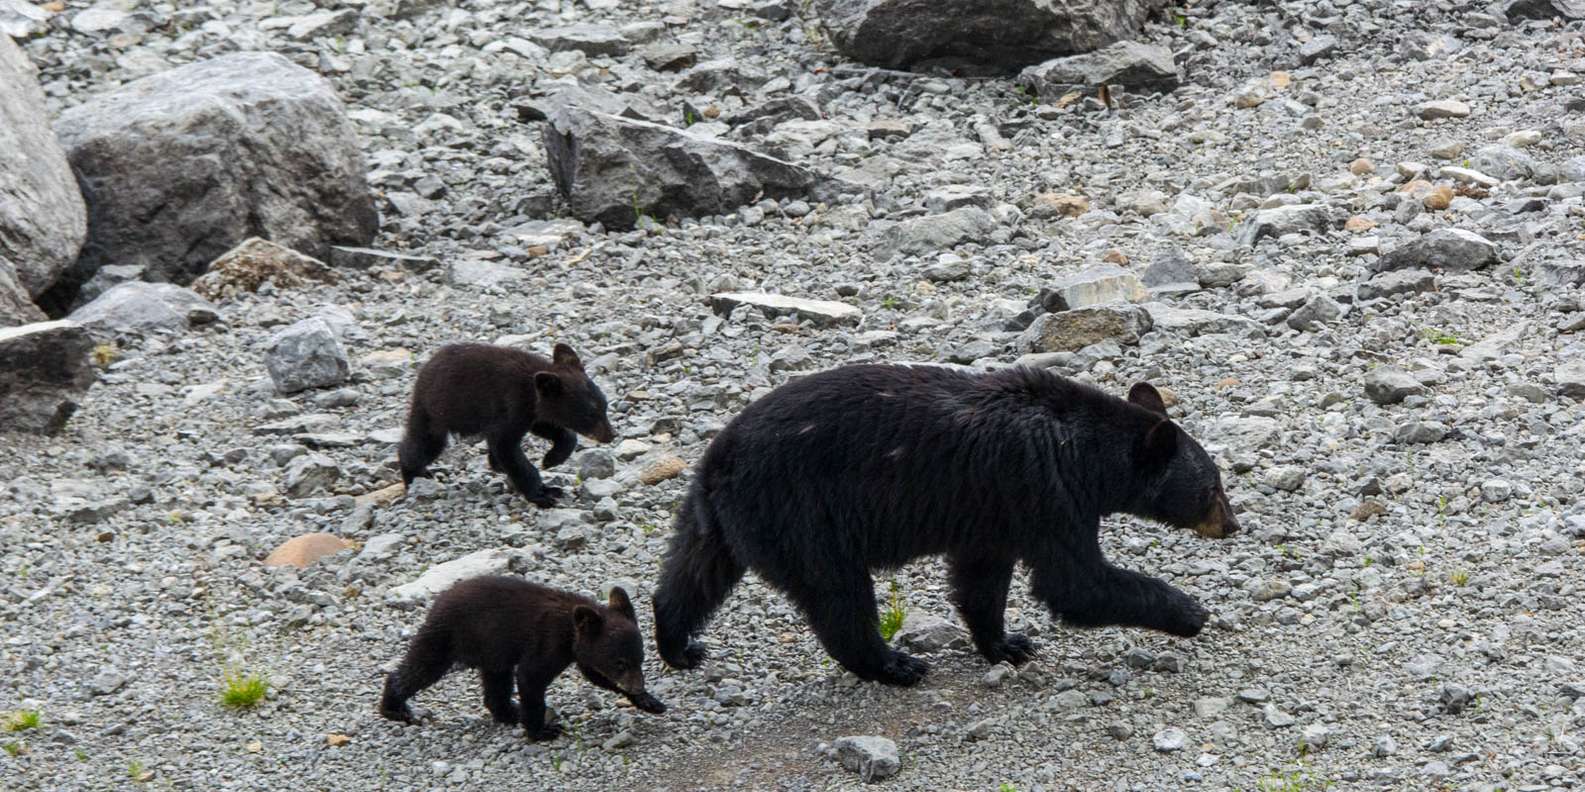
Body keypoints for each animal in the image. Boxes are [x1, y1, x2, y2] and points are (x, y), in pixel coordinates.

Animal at [380, 576, 665, 734]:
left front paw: (649, 701)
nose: (638, 686)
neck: (570, 631)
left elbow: (597, 676)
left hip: (492, 650)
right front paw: (542, 730)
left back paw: (508, 712)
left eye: (640, 660)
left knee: (496, 681)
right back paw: (394, 707)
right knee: (422, 667)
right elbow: (531, 676)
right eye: (620, 663)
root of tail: (437, 601)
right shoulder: (548, 642)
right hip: (448, 635)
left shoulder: (582, 653)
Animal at [399, 345, 614, 506]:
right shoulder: (510, 404)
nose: (611, 435)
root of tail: (424, 370)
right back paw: (415, 475)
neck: (531, 391)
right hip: (434, 410)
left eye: (605, 405)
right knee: (425, 443)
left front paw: (552, 459)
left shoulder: (531, 413)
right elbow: (506, 445)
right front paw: (543, 493)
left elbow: (549, 428)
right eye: (589, 414)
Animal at [653, 362, 1236, 684]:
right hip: (801, 514)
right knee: (837, 594)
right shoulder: (1042, 488)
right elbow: (1075, 583)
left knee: (692, 575)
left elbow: (981, 579)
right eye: (1213, 487)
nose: (1232, 524)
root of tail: (718, 459)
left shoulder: (994, 511)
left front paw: (1006, 643)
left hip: (719, 518)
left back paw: (677, 646)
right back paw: (893, 665)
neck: (1084, 450)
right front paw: (1190, 611)